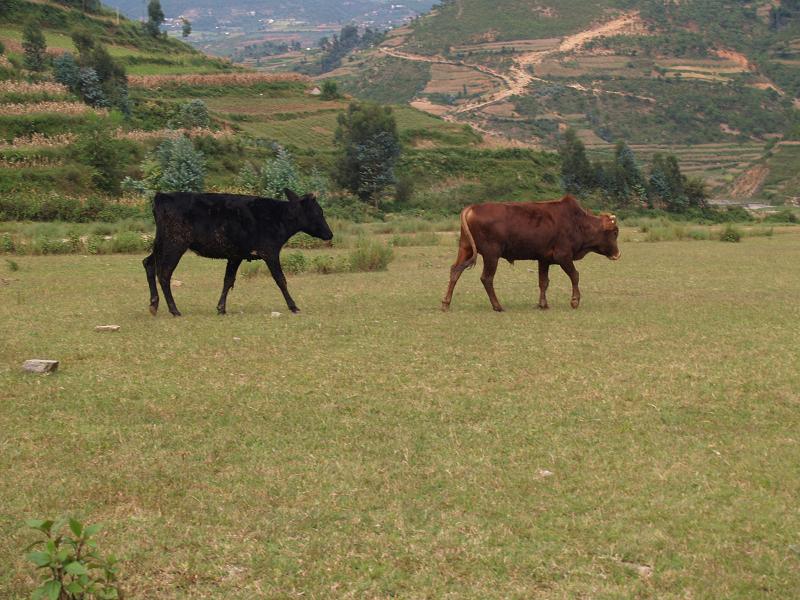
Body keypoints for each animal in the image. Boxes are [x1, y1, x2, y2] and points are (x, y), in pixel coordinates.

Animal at [143, 190, 332, 316]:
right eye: (319, 212)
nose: (330, 234)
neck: (279, 217)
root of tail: (162, 196)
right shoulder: (270, 252)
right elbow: (281, 279)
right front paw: (293, 306)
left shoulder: (236, 255)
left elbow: (228, 280)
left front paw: (221, 308)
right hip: (174, 244)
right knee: (164, 273)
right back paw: (174, 310)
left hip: (162, 243)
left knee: (148, 263)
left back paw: (154, 304)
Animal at [440, 196, 620, 312]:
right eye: (615, 232)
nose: (617, 254)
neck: (578, 222)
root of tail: (472, 208)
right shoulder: (563, 256)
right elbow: (575, 275)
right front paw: (575, 300)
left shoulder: (544, 259)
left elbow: (543, 282)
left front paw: (543, 304)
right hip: (492, 255)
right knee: (487, 278)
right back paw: (497, 306)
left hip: (466, 248)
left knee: (455, 271)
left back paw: (446, 303)